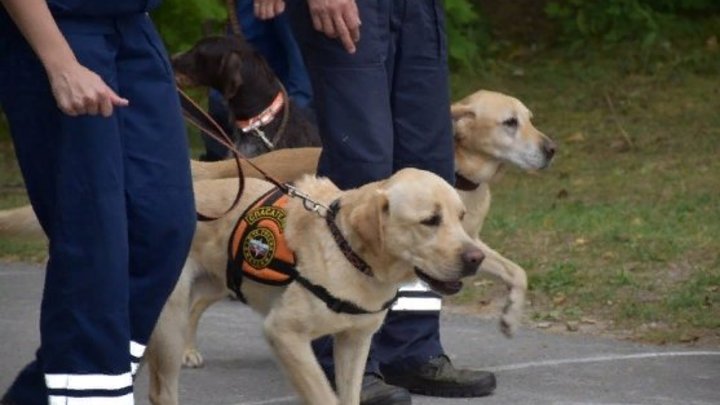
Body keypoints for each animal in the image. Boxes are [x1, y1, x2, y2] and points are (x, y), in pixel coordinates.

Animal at [146, 168, 484, 404]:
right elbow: (323, 395)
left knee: (196, 308)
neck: (347, 250)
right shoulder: (284, 334)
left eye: (460, 216)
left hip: (222, 280)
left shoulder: (354, 340)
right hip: (169, 322)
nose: (476, 258)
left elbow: (349, 396)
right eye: (430, 220)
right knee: (161, 391)